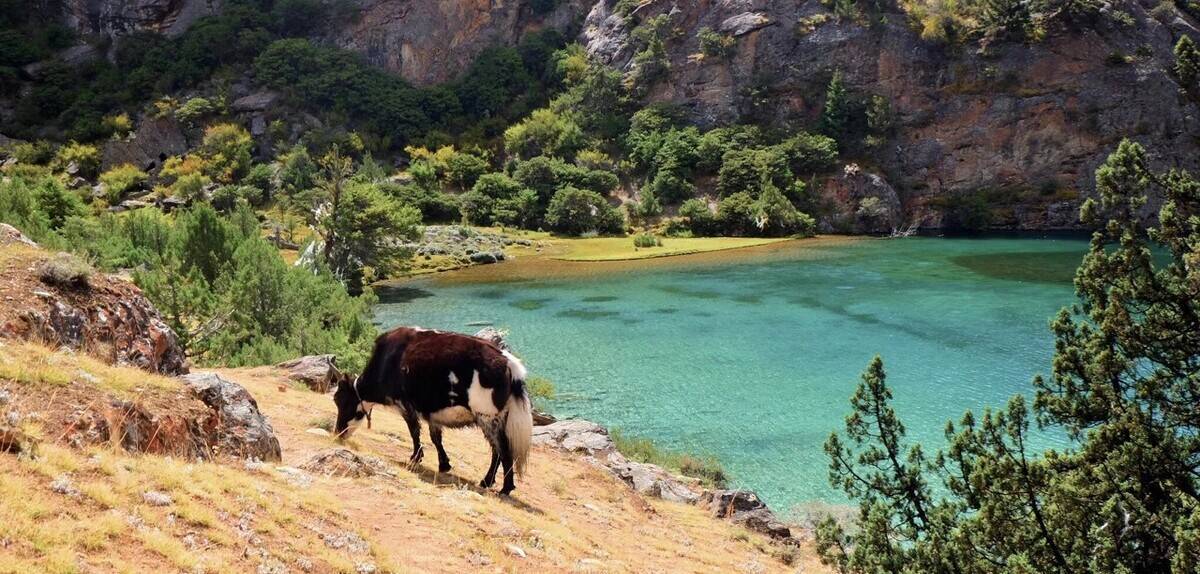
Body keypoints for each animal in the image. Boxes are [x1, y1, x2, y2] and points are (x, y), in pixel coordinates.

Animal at [333, 327, 533, 495]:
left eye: (342, 401)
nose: (338, 433)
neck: (386, 362)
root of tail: (509, 363)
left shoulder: (405, 404)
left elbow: (414, 431)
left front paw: (415, 458)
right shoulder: (431, 414)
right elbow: (435, 438)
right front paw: (444, 464)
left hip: (487, 416)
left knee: (503, 449)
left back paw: (505, 488)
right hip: (493, 418)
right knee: (497, 450)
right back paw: (487, 482)